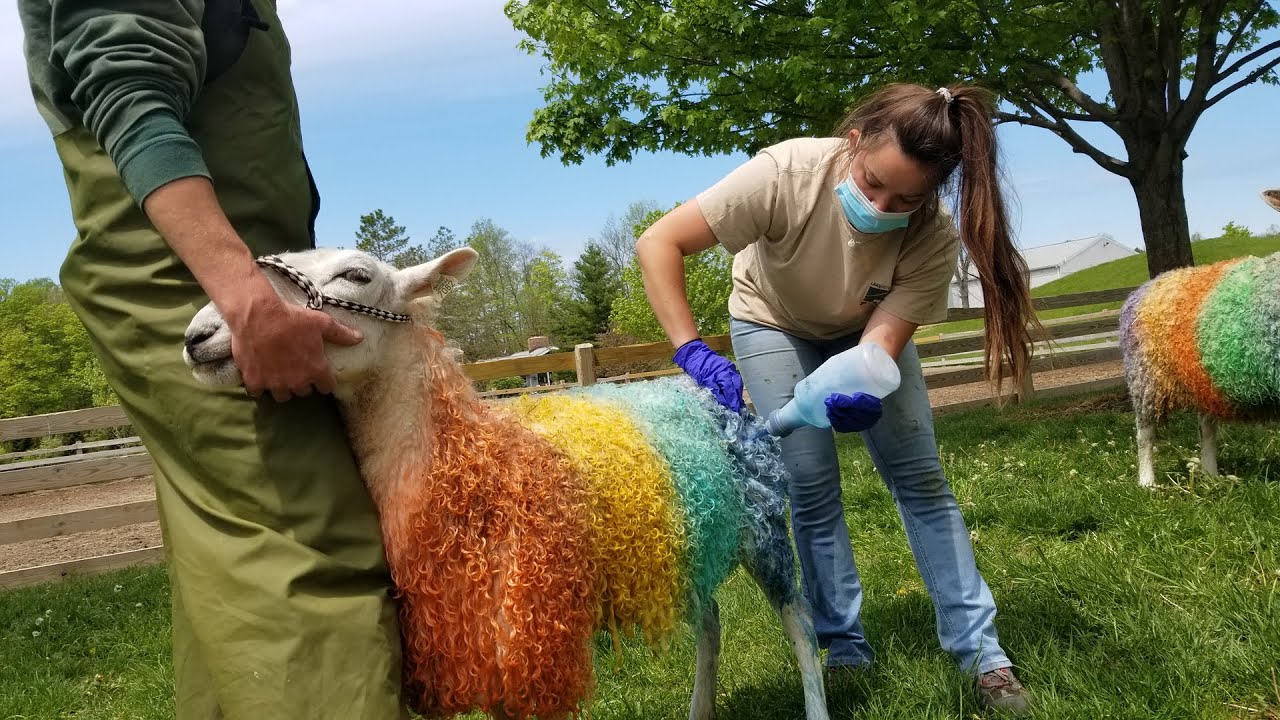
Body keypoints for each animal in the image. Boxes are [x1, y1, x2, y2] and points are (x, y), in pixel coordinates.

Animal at [181, 247, 830, 720]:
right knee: (712, 621)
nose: (197, 335)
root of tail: (700, 388)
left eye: (355, 275)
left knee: (796, 617)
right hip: (684, 539)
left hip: (761, 524)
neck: (471, 458)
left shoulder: (526, 633)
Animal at [1119, 189, 1280, 487]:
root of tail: (1151, 284)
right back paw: (1147, 482)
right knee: (1145, 433)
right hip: (1146, 378)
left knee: (1206, 428)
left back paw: (1210, 473)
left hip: (1201, 377)